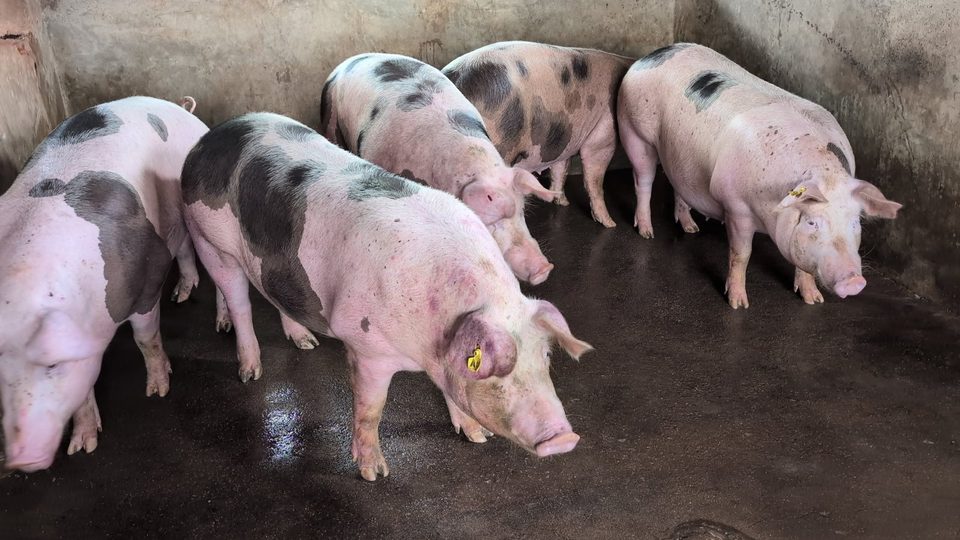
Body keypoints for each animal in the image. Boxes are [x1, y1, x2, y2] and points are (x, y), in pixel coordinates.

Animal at [0, 96, 209, 471]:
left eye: (51, 364)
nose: (21, 461)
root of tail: (181, 107)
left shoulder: (147, 275)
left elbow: (146, 339)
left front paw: (158, 390)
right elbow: (83, 390)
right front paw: (82, 447)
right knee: (184, 247)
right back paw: (181, 296)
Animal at [181, 113, 592, 480]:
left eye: (545, 357)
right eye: (495, 367)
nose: (565, 438)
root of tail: (208, 139)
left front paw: (478, 437)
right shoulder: (366, 347)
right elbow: (370, 410)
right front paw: (374, 473)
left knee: (275, 294)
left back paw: (306, 343)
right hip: (209, 240)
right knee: (238, 301)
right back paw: (250, 372)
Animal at [442, 41, 634, 228]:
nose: (612, 224)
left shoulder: (563, 138)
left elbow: (560, 169)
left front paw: (561, 201)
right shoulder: (604, 134)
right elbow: (594, 179)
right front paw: (610, 224)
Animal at [618, 43, 902, 308]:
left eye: (856, 222)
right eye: (812, 222)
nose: (854, 281)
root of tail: (652, 54)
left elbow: (804, 266)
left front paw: (814, 300)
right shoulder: (736, 207)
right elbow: (741, 254)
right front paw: (738, 304)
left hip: (681, 156)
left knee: (678, 185)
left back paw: (691, 228)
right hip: (635, 132)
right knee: (643, 181)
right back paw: (647, 232)